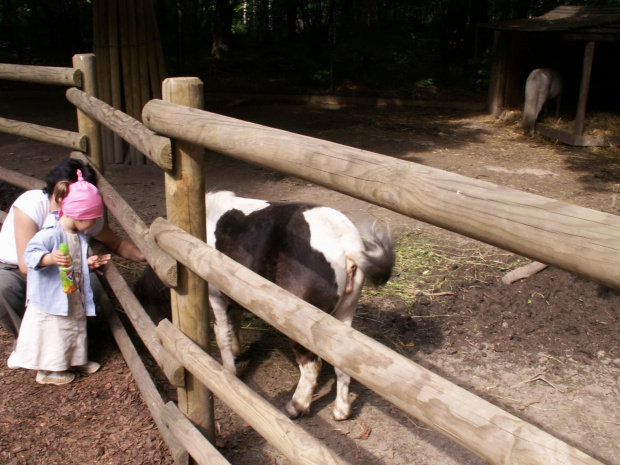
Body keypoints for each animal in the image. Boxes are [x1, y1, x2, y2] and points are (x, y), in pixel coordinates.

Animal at [137, 190, 394, 418]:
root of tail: (347, 246)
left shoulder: (215, 296)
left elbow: (221, 335)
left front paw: (229, 371)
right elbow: (235, 321)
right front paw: (238, 352)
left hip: (302, 325)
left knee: (311, 366)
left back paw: (295, 407)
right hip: (344, 316)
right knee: (342, 363)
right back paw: (341, 412)